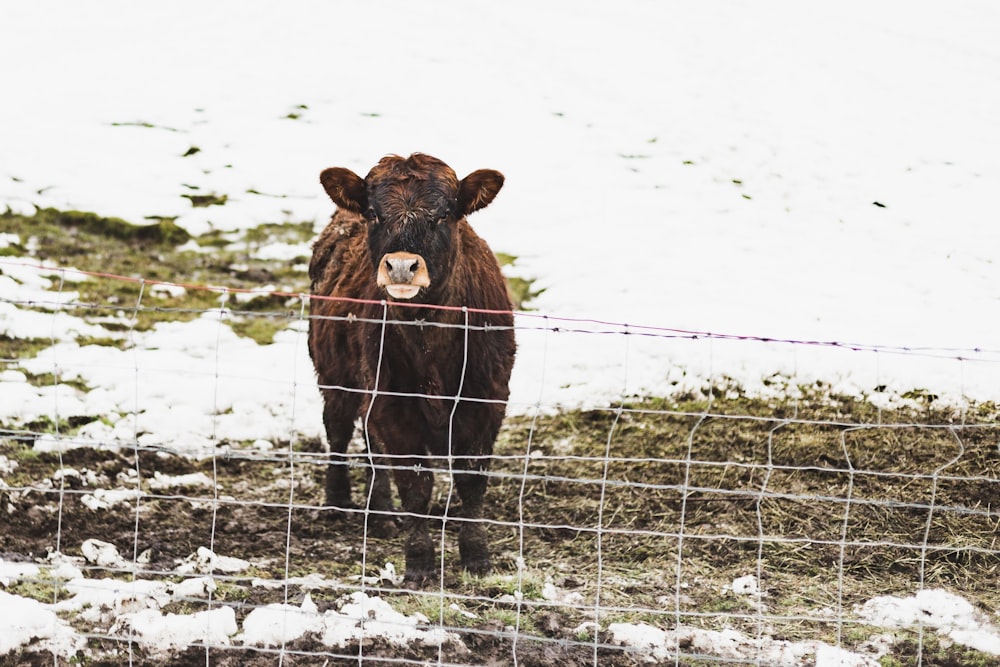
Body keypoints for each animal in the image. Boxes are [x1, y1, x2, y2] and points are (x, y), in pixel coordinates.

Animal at [308, 153, 520, 584]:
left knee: (369, 446)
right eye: (374, 213)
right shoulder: (393, 406)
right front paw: (419, 563)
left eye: (443, 215)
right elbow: (416, 485)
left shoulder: (487, 402)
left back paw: (380, 513)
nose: (402, 267)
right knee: (338, 430)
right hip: (334, 375)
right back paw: (338, 502)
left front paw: (477, 557)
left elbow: (471, 482)